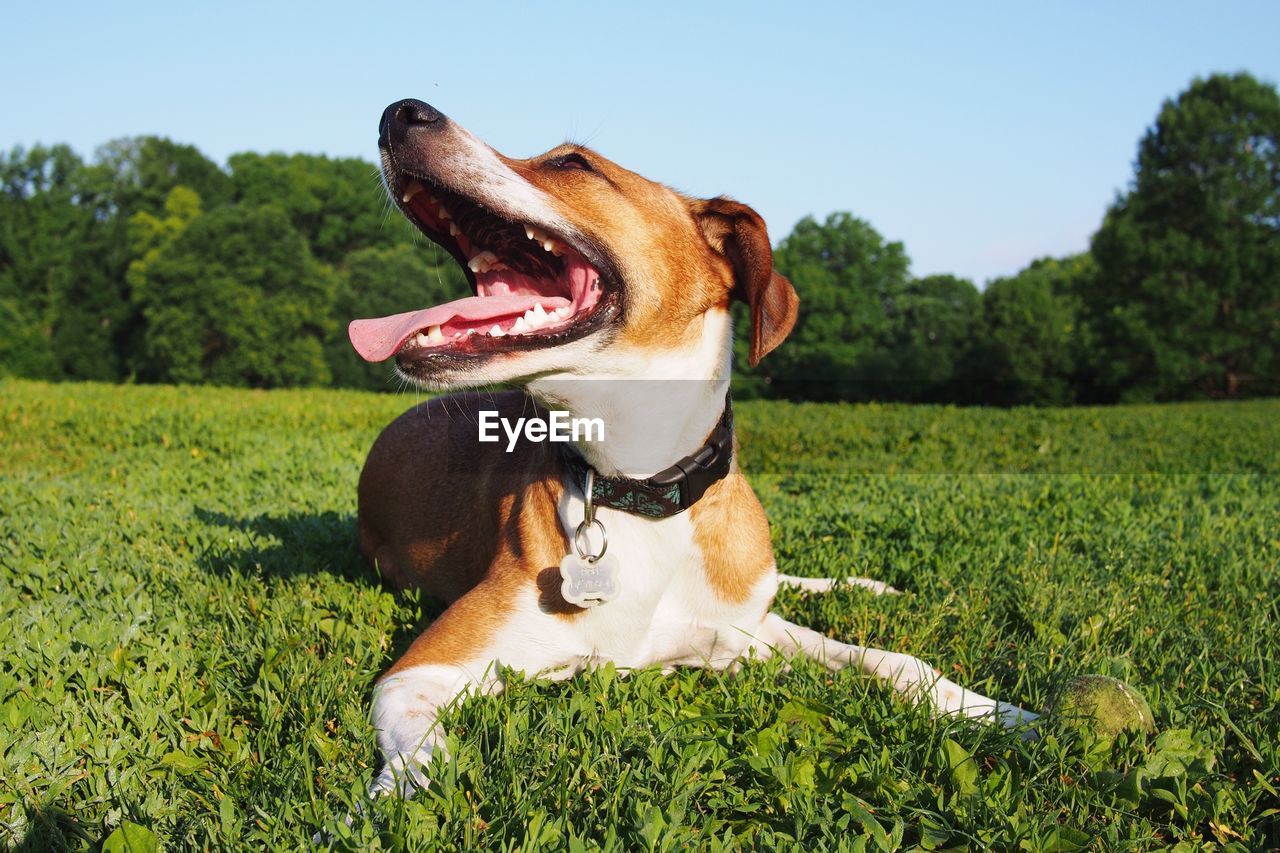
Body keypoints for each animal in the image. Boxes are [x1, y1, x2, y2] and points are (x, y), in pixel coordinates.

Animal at [348, 99, 1029, 799]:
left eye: (573, 164)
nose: (401, 111)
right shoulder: (419, 671)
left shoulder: (750, 631)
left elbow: (893, 661)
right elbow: (418, 760)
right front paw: (393, 796)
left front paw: (995, 711)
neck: (642, 487)